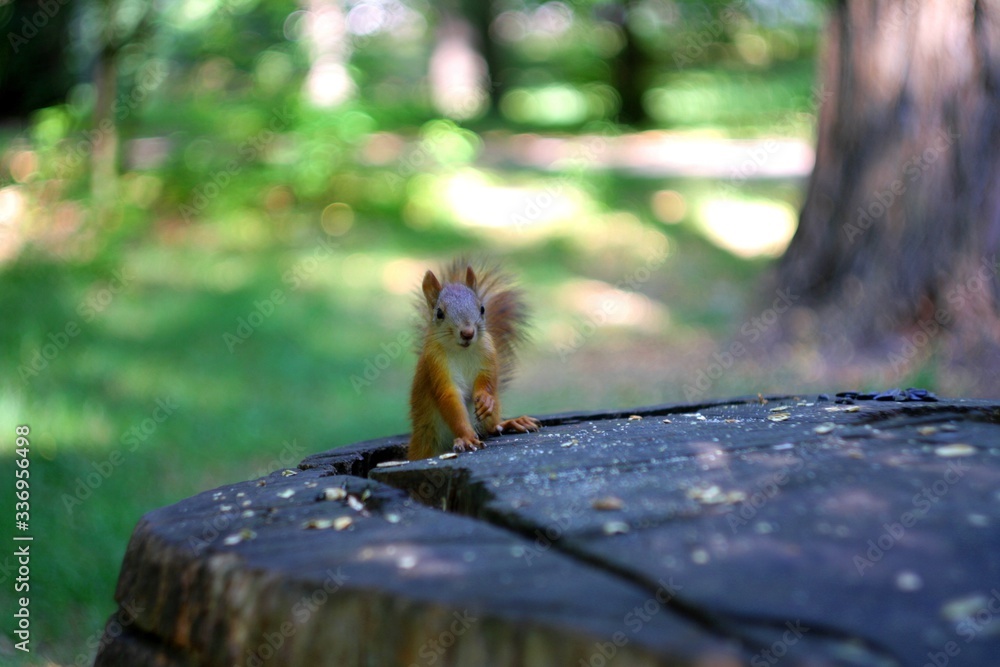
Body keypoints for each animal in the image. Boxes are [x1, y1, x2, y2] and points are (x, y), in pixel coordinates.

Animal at [408, 260, 544, 460]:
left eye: (482, 308)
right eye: (439, 313)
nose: (467, 333)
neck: (462, 351)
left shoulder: (488, 354)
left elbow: (488, 381)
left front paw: (485, 400)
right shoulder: (436, 363)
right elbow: (450, 397)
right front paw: (467, 438)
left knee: (492, 427)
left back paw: (512, 422)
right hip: (426, 441)